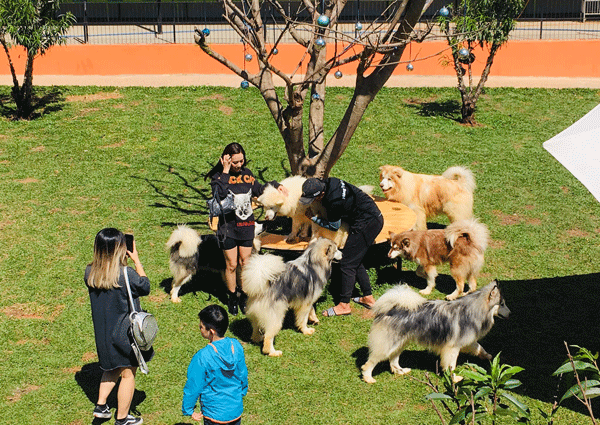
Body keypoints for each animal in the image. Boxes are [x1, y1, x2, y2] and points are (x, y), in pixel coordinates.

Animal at [360, 280, 510, 382]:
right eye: (502, 304)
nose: (510, 313)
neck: (473, 310)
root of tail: (390, 308)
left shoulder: (467, 341)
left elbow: (479, 348)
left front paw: (488, 357)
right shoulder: (452, 348)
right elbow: (451, 366)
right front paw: (454, 379)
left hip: (400, 343)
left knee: (393, 360)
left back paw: (401, 371)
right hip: (387, 345)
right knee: (370, 362)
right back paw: (368, 378)